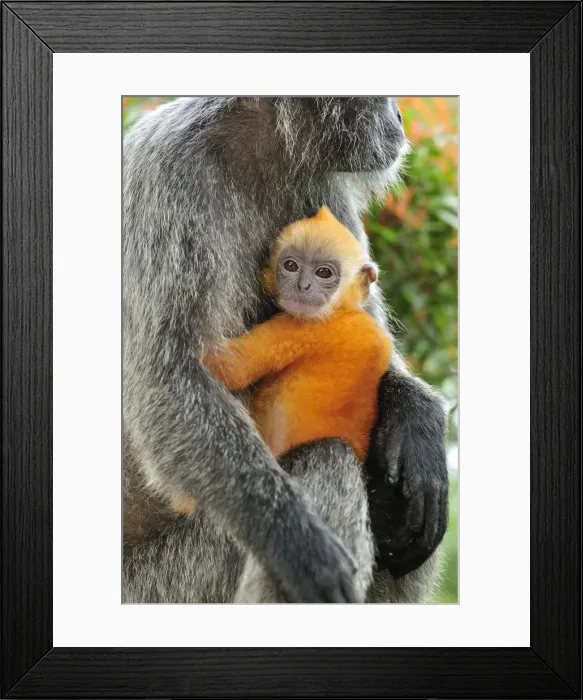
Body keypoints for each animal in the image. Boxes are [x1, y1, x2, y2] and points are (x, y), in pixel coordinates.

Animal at [202, 205, 392, 467]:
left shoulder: (301, 328)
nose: (303, 286)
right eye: (291, 266)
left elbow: (230, 368)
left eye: (323, 272)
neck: (342, 310)